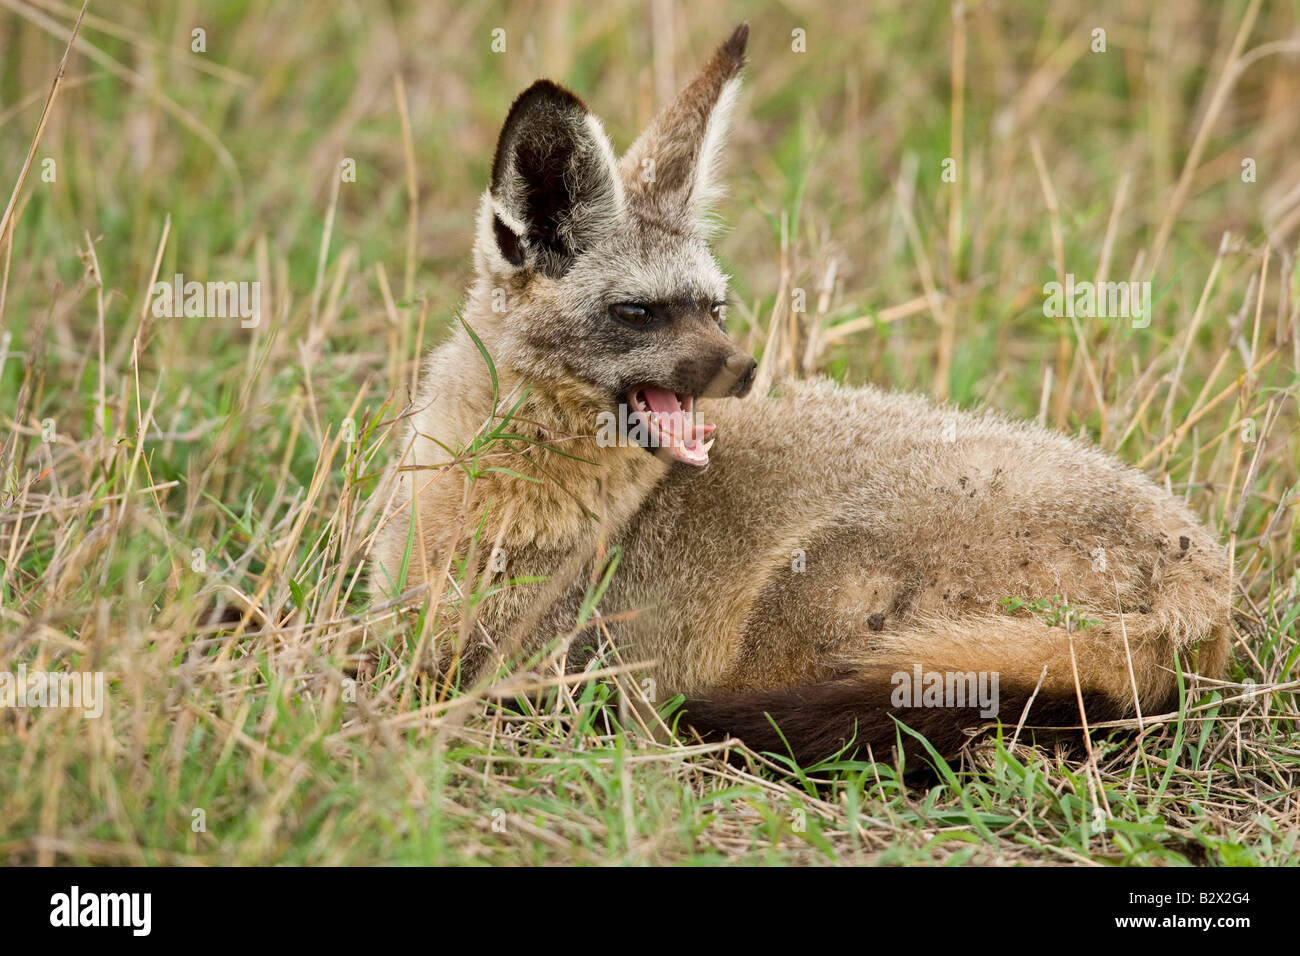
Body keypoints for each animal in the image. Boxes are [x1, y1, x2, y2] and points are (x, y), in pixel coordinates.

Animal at [371, 23, 1232, 765]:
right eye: (639, 313)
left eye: (715, 309)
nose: (745, 369)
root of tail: (1206, 587)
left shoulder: (528, 657)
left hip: (805, 591)